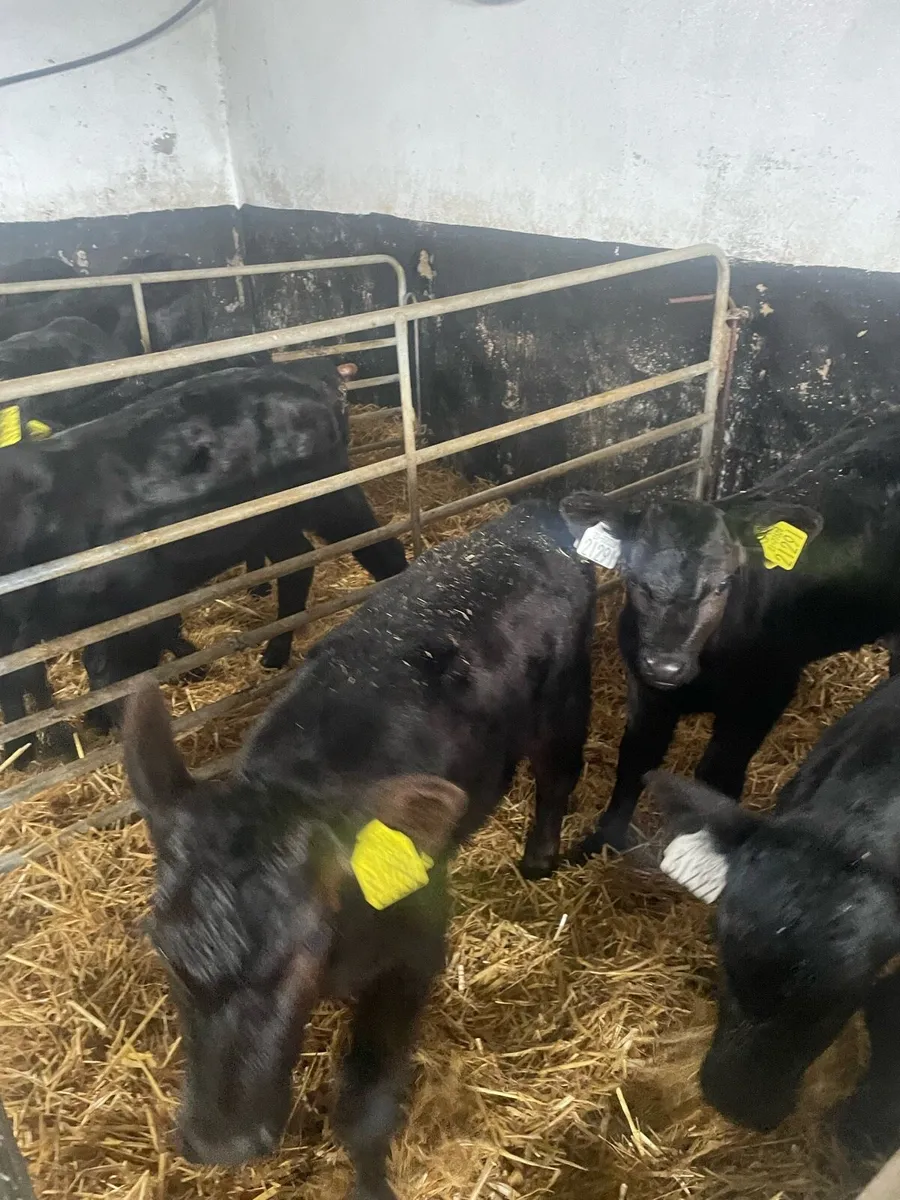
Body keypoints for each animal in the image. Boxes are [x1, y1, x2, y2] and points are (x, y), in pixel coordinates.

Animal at [0, 363, 406, 765]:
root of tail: (312, 378)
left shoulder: (129, 606)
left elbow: (107, 671)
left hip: (331, 496)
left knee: (383, 552)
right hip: (270, 523)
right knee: (296, 565)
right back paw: (274, 653)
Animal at [123, 501, 596, 1198]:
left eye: (300, 952)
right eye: (162, 945)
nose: (220, 1144)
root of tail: (532, 516)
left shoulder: (416, 946)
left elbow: (365, 1108)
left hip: (564, 703)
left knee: (559, 774)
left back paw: (538, 859)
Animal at [559, 404, 900, 858]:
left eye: (722, 584)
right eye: (634, 578)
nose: (666, 666)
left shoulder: (765, 696)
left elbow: (718, 775)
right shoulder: (645, 688)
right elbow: (635, 758)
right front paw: (601, 841)